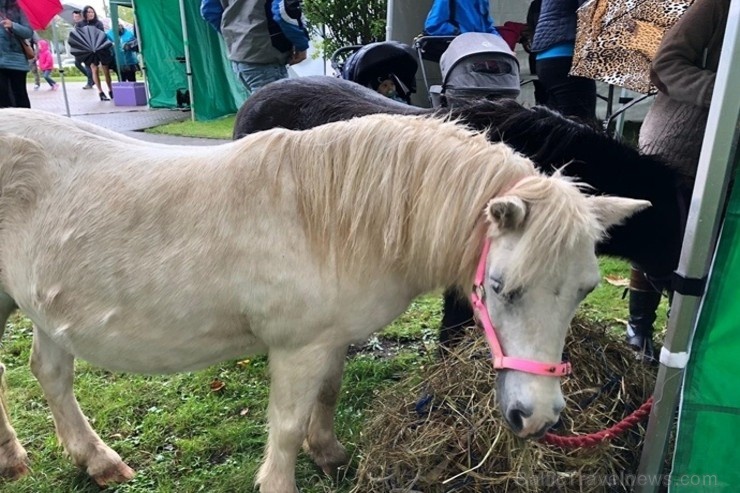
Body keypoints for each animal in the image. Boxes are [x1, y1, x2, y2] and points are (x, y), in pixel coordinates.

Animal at [0, 109, 648, 490]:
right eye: (498, 288)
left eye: (586, 288)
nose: (537, 418)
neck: (331, 220)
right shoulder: (296, 348)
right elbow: (285, 427)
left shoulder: (330, 339)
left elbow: (328, 394)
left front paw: (329, 452)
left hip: (46, 312)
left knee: (50, 372)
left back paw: (94, 459)